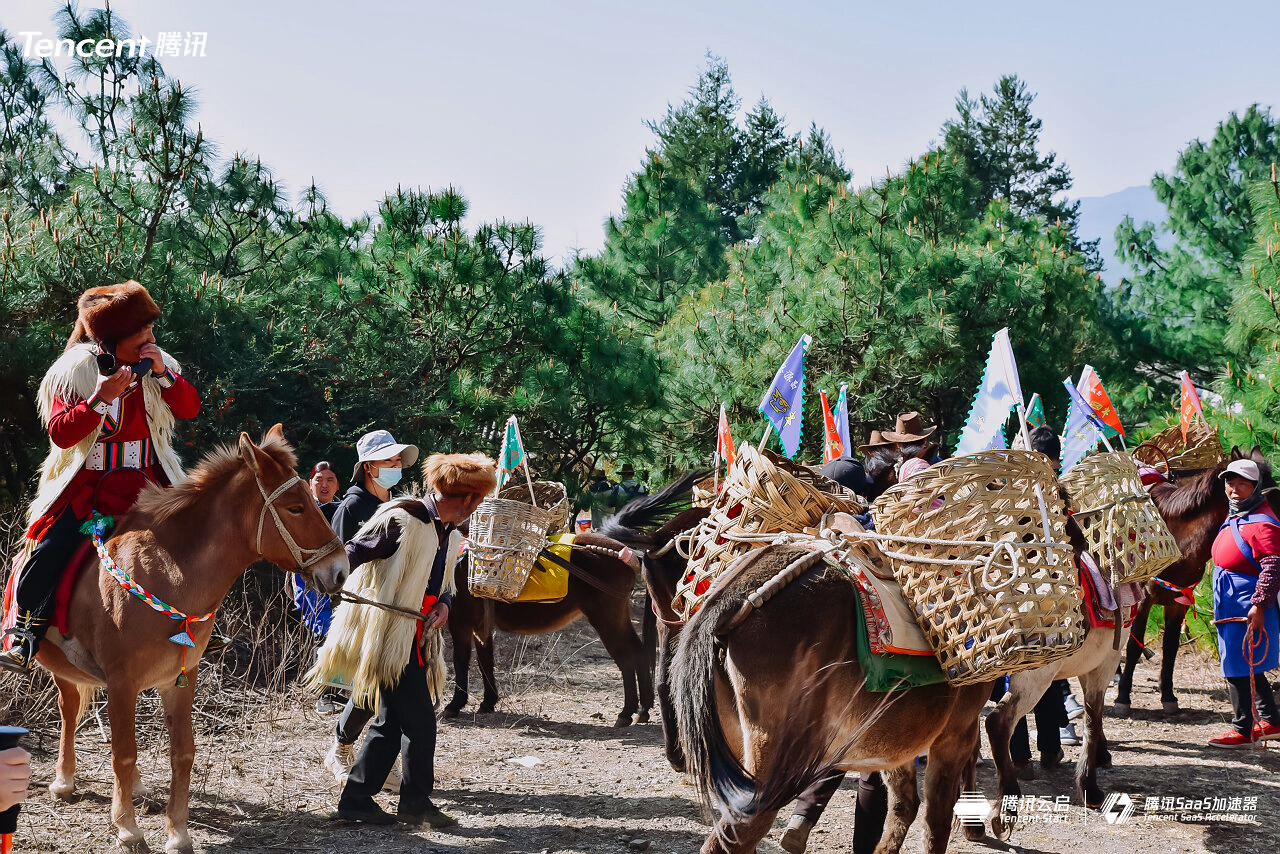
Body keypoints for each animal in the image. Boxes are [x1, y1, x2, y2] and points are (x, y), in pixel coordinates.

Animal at [28, 427, 350, 854]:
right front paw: (127, 827)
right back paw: (65, 781)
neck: (168, 573)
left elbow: (182, 753)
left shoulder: (180, 678)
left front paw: (177, 832)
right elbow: (123, 752)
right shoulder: (121, 682)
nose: (340, 570)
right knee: (68, 709)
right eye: (296, 508)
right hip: (60, 660)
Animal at [1116, 445, 1274, 717]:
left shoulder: (1177, 601)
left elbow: (1170, 648)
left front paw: (1168, 696)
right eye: (1265, 495)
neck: (1174, 536)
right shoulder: (1144, 599)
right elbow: (1134, 647)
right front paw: (1123, 697)